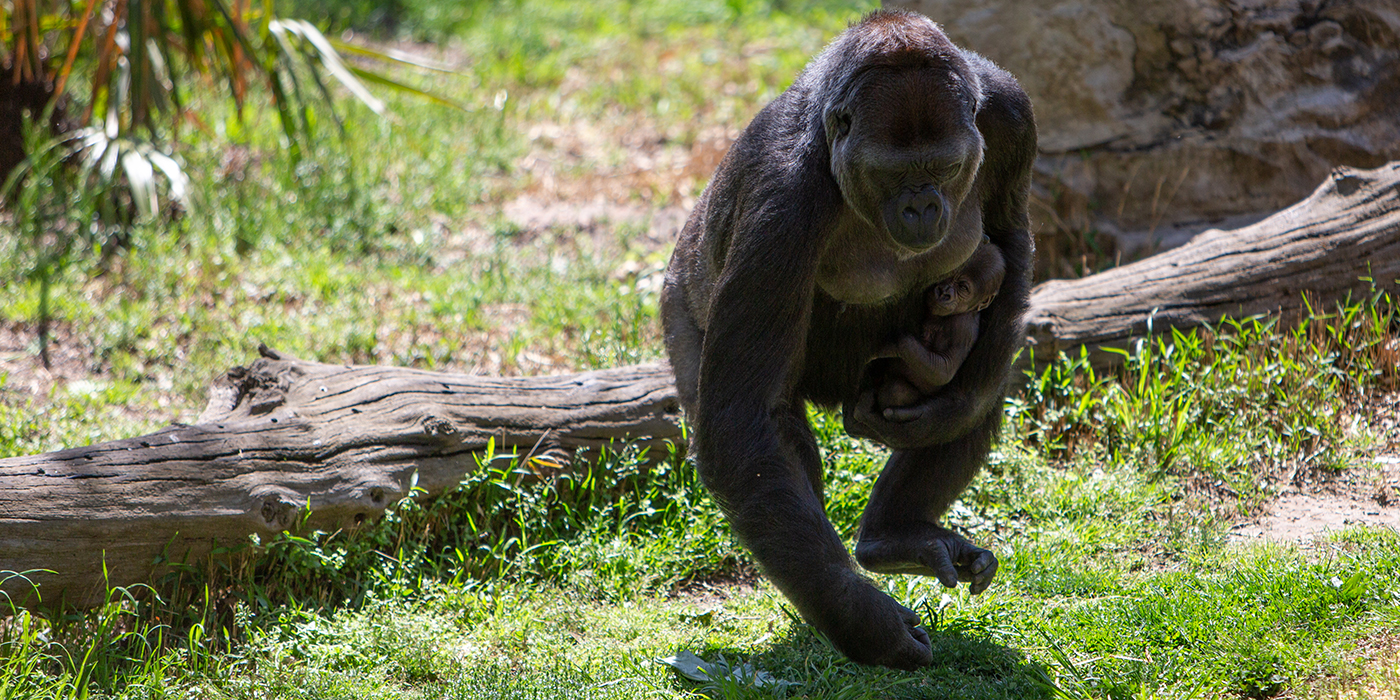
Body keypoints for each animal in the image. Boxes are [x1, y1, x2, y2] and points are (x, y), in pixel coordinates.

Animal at [873, 239, 1008, 414]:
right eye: (950, 274)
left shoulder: (963, 327)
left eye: (963, 287)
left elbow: (945, 369)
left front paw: (897, 344)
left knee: (896, 391)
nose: (944, 293)